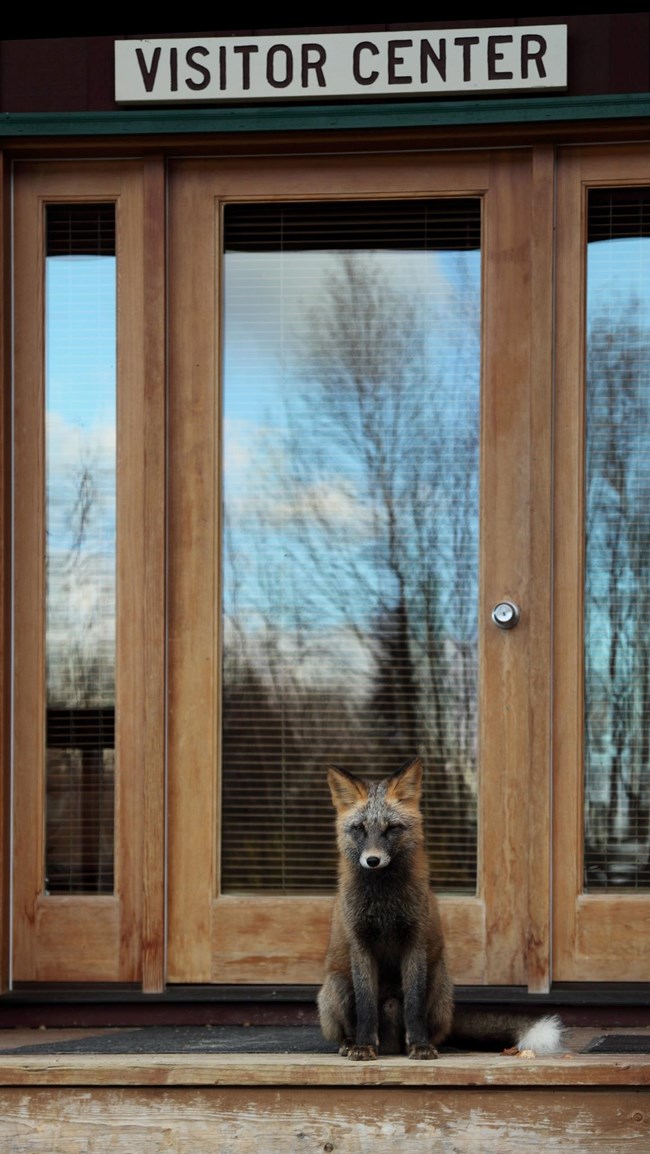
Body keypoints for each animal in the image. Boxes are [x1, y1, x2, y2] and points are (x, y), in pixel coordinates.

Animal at [318, 757, 561, 1061]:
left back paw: (424, 1044)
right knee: (349, 1023)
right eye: (360, 829)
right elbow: (366, 1006)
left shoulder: (415, 941)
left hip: (439, 981)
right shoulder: (361, 944)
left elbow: (414, 1006)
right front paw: (363, 1045)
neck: (385, 902)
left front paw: (420, 1045)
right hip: (335, 986)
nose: (372, 860)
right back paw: (351, 1043)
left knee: (432, 1028)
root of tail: (390, 1048)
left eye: (391, 828)